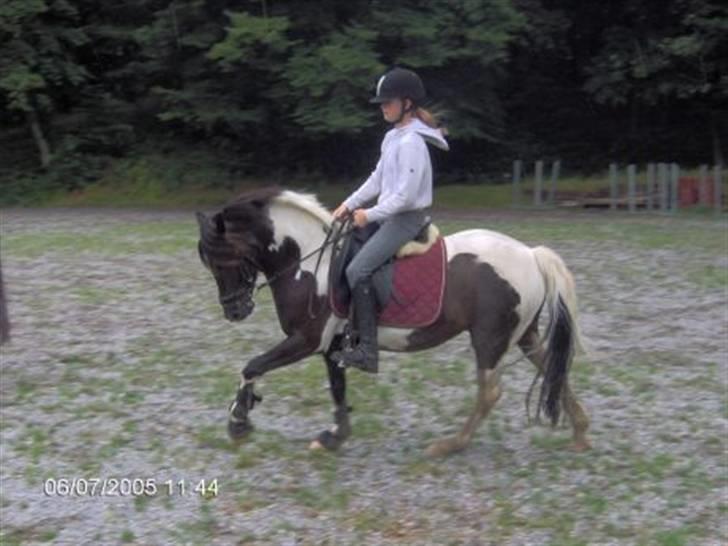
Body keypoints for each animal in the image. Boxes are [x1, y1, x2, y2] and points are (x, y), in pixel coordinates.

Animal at [195, 187, 592, 454]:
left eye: (225, 259)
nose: (234, 311)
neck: (309, 265)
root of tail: (530, 254)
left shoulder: (306, 340)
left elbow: (252, 366)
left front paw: (238, 421)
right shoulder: (332, 346)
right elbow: (337, 387)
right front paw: (335, 436)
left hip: (489, 338)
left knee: (490, 392)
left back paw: (451, 444)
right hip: (523, 334)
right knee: (554, 369)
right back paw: (580, 432)